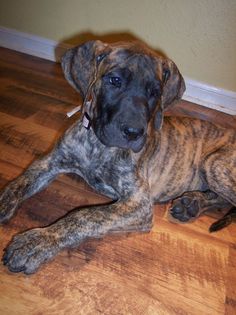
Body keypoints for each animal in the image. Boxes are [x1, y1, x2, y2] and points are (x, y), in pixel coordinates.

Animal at [0, 41, 236, 274]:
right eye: (115, 81)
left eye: (155, 92)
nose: (134, 133)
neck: (98, 146)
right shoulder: (50, 162)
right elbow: (20, 182)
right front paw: (3, 203)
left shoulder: (138, 203)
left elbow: (85, 216)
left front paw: (37, 242)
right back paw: (191, 204)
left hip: (213, 163)